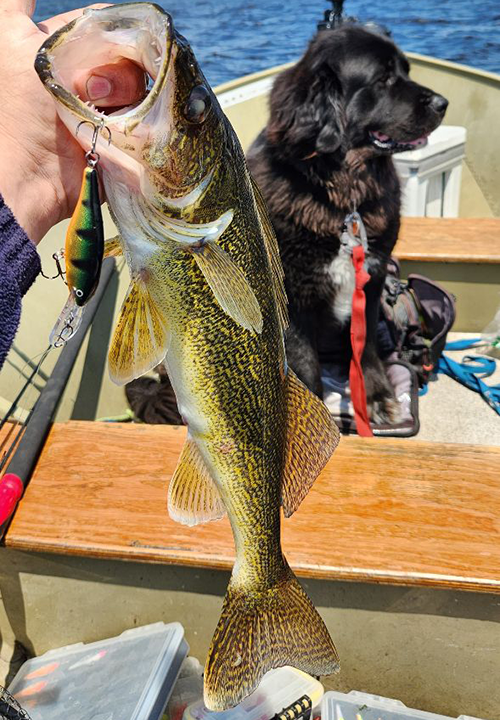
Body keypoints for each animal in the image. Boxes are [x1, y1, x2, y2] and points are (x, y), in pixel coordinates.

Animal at [248, 23, 448, 422]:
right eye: (383, 78)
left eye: (406, 71)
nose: (442, 103)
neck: (341, 193)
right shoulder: (294, 293)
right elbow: (303, 358)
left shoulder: (370, 281)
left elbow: (365, 341)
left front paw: (376, 396)